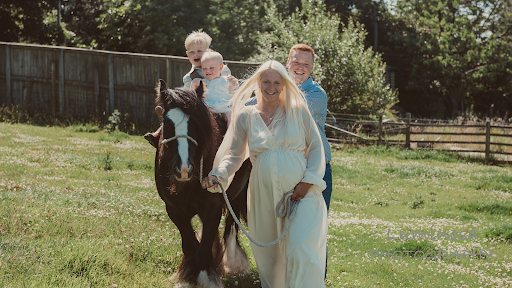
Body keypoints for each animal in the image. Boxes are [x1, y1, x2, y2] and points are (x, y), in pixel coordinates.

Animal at [146, 80, 252, 286]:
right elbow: (191, 247)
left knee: (231, 227)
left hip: (236, 196)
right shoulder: (174, 210)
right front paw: (188, 277)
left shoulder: (213, 207)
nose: (184, 168)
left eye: (196, 123)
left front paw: (205, 278)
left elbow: (202, 252)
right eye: (166, 124)